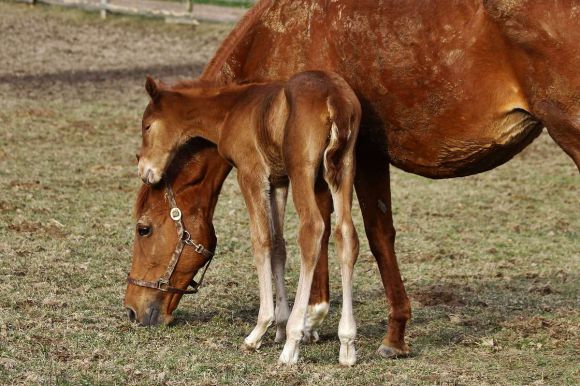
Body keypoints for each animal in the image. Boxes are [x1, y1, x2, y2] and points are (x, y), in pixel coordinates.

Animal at [138, 71, 360, 364]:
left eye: (147, 126)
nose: (144, 171)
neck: (232, 108)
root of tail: (333, 96)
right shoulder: (278, 181)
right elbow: (278, 245)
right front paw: (279, 326)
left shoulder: (251, 173)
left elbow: (261, 240)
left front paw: (261, 329)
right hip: (343, 167)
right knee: (346, 234)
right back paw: (347, 343)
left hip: (303, 169)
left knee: (312, 230)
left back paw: (292, 343)